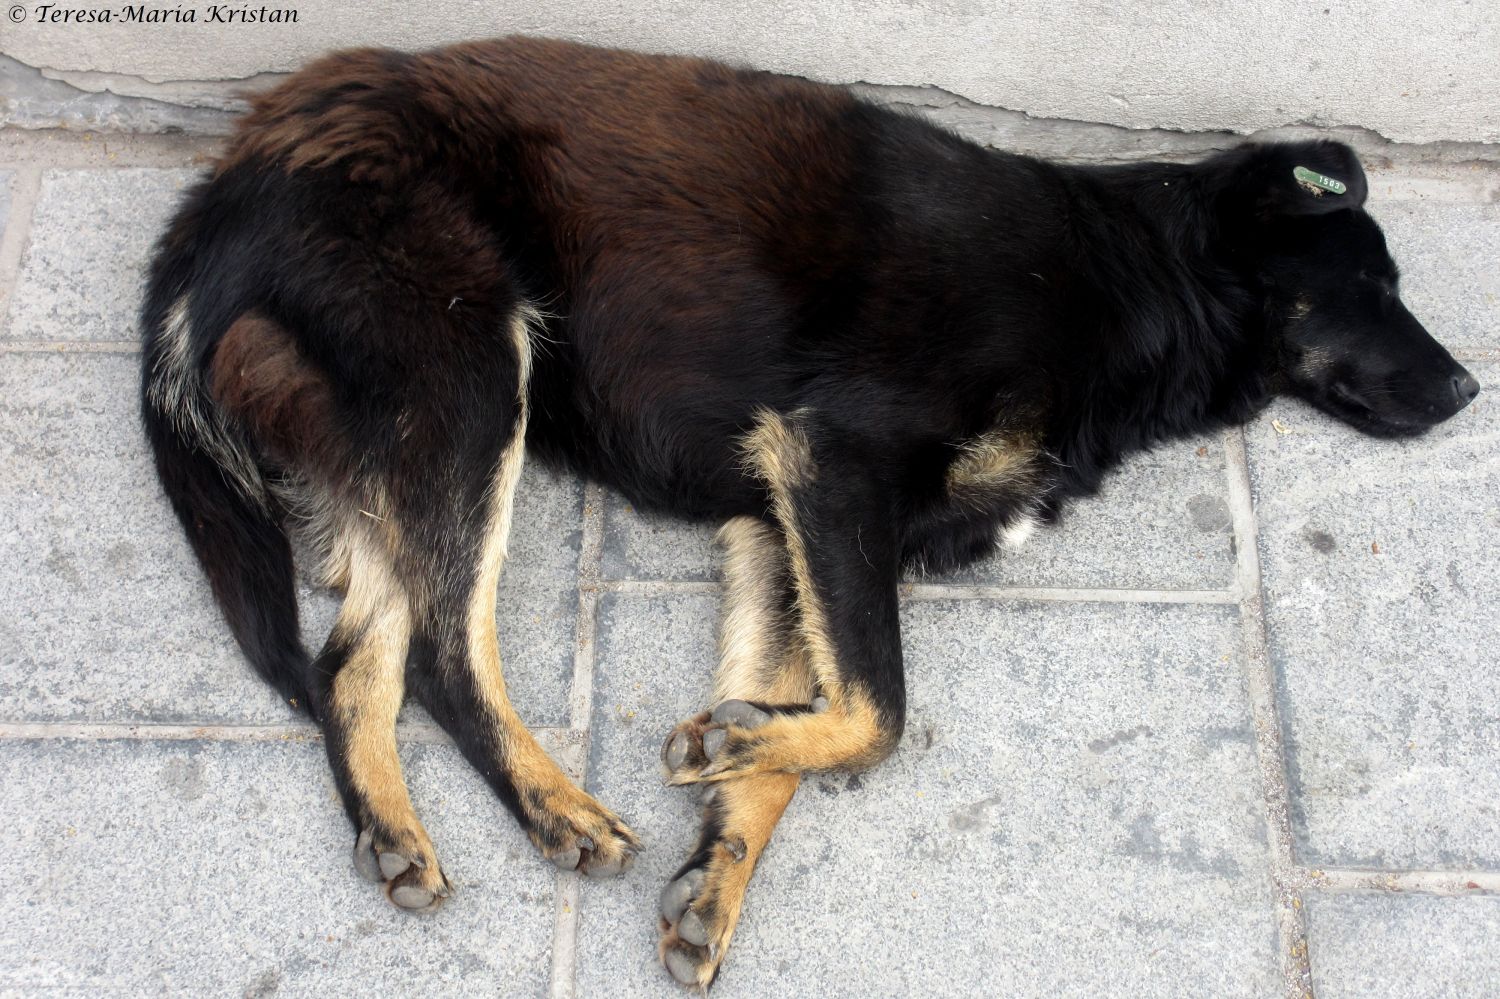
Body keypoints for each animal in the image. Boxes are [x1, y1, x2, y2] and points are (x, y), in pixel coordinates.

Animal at [138, 35, 1476, 984]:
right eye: (1375, 282)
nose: (1470, 389)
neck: (1129, 282)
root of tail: (230, 179)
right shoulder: (835, 464)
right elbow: (880, 710)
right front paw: (731, 754)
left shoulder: (783, 524)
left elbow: (809, 716)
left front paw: (724, 844)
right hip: (472, 382)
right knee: (442, 653)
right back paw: (551, 806)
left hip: (399, 433)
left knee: (355, 657)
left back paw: (394, 830)